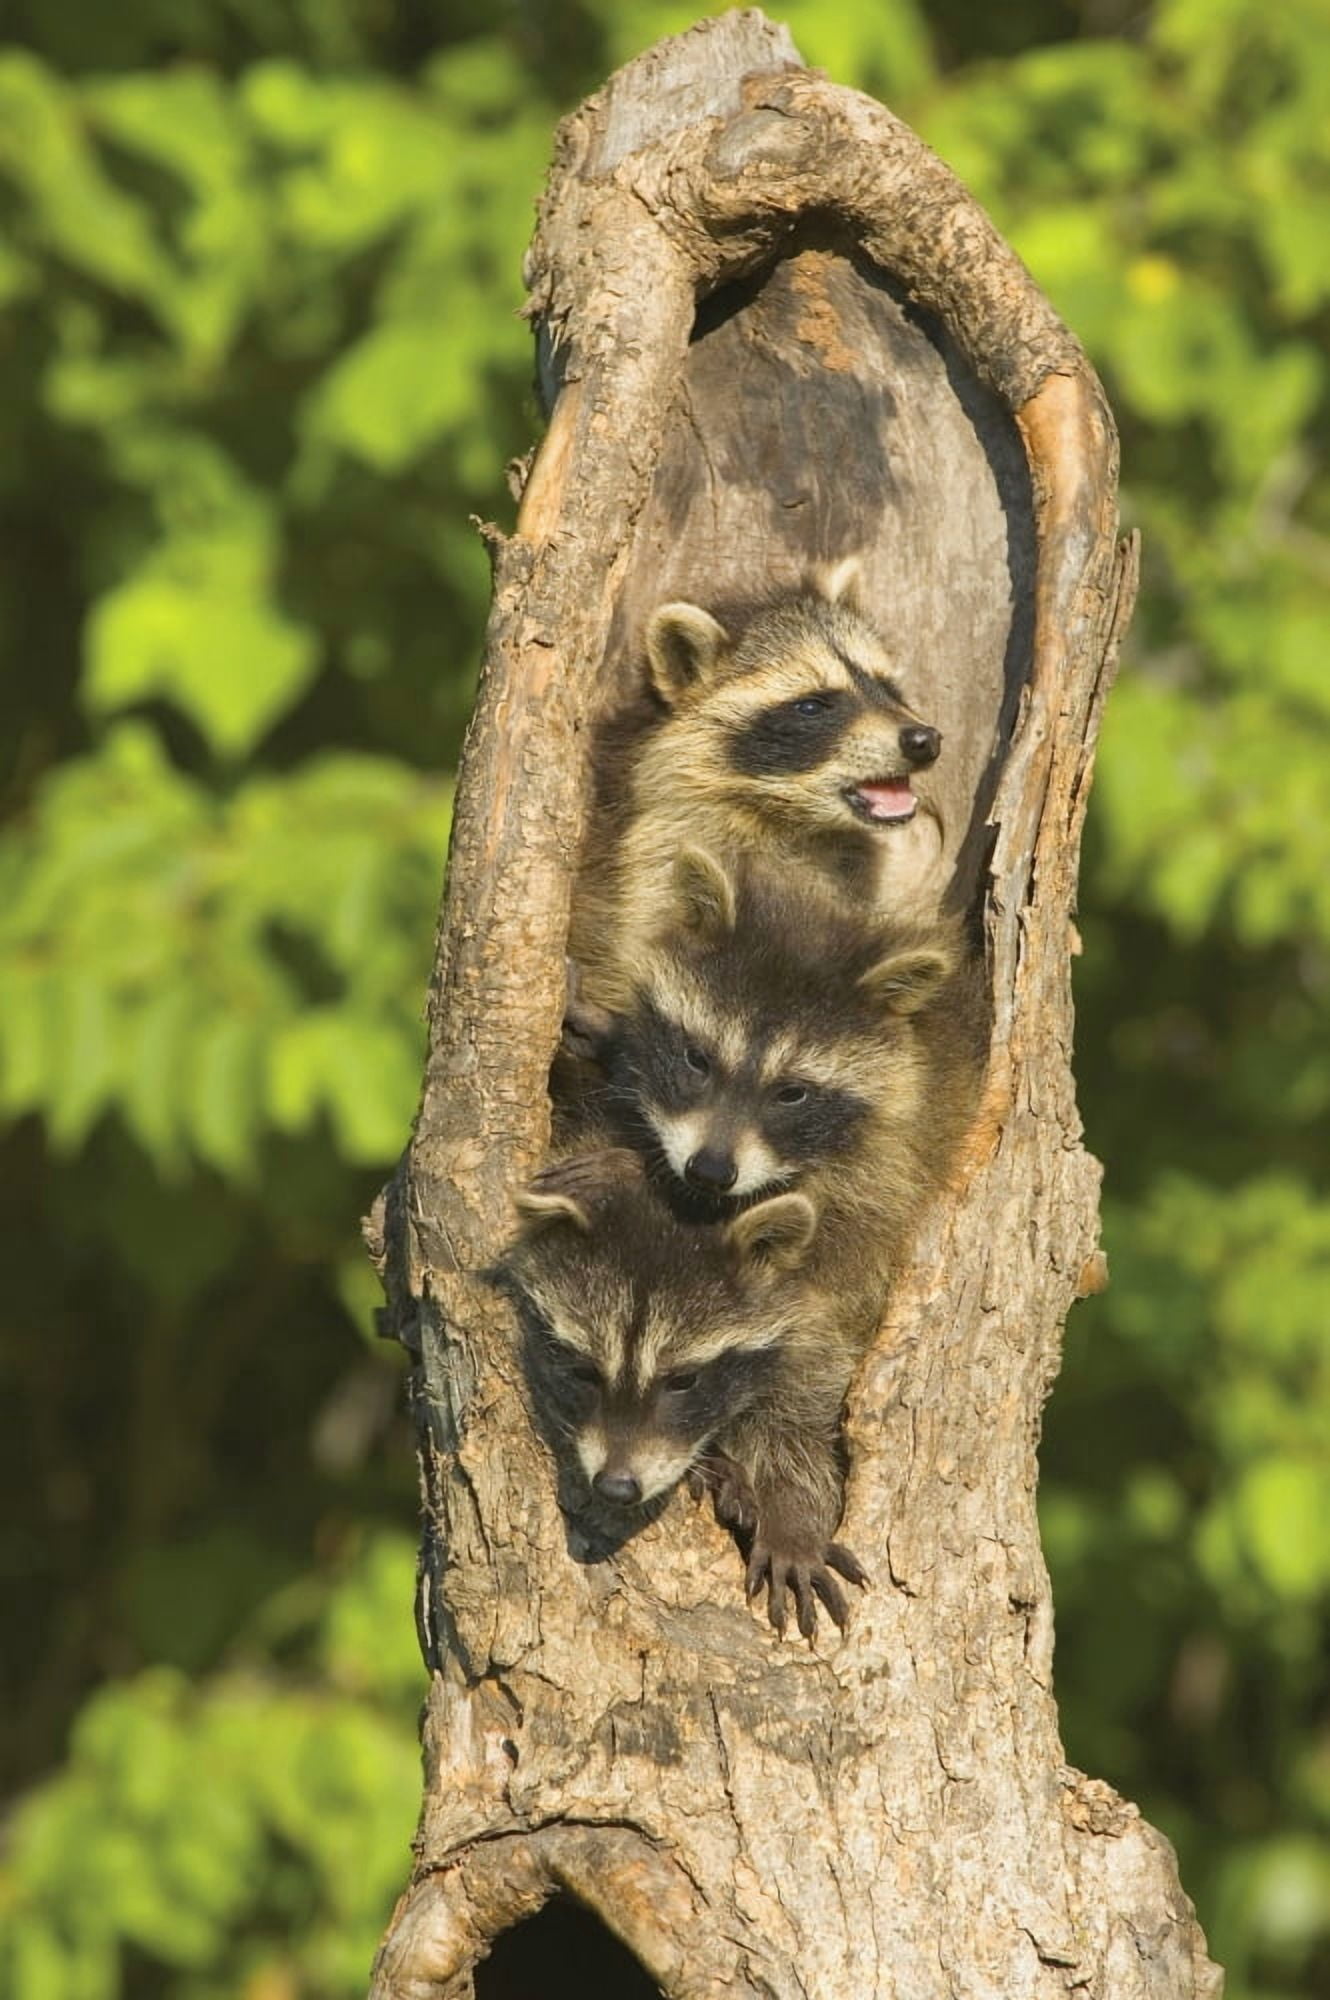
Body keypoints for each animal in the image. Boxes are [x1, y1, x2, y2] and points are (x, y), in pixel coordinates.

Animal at [498, 1146, 869, 1638]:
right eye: (586, 1372)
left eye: (682, 1380)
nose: (616, 1486)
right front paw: (714, 1466)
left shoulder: (813, 1329)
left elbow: (801, 1430)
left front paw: (793, 1518)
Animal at [565, 845, 988, 1341]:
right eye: (697, 1060)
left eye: (791, 1093)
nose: (709, 1172)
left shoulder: (895, 1165)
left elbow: (822, 1258)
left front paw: (632, 1172)